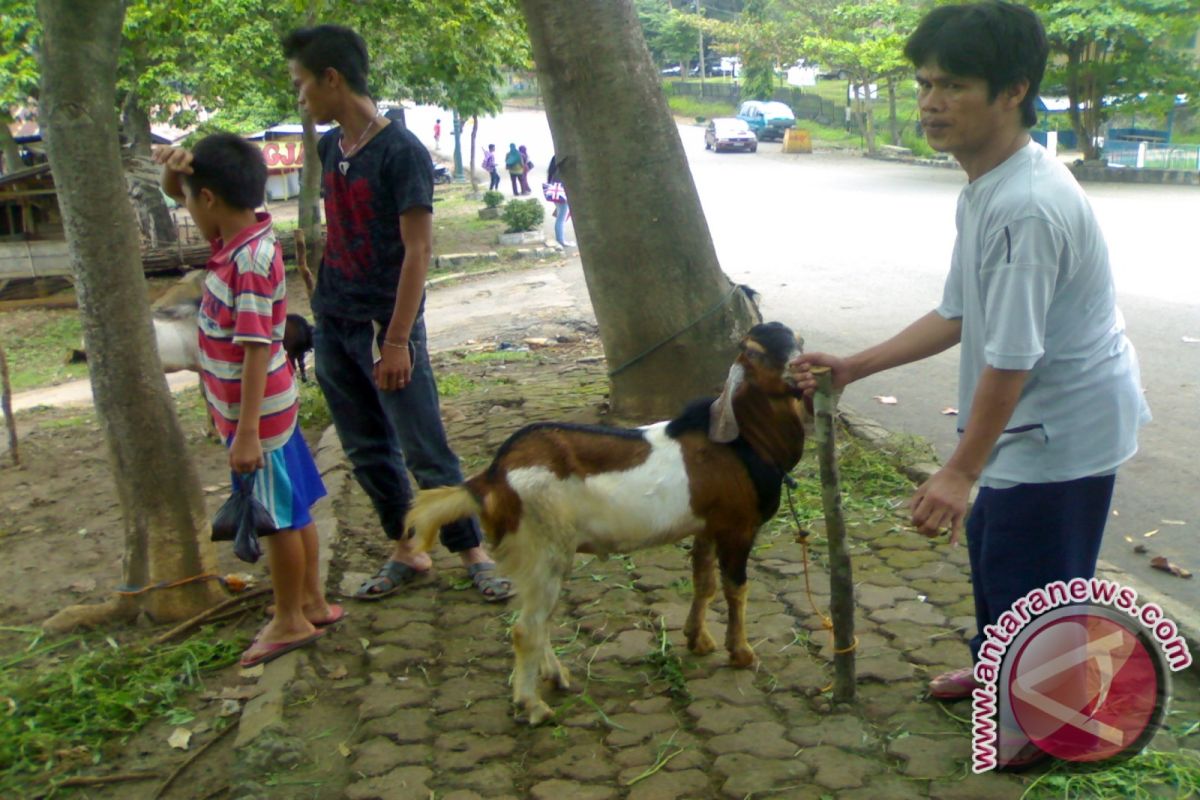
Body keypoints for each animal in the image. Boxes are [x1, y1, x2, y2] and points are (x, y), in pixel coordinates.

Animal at [408, 321, 811, 724]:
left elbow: (704, 583)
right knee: (527, 628)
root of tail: (491, 478)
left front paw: (698, 640)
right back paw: (532, 705)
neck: (746, 442)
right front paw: (741, 653)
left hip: (536, 556)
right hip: (545, 548)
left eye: (800, 341)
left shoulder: (708, 526)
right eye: (754, 352)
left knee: (539, 619)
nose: (799, 371)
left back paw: (555, 676)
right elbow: (736, 588)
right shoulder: (738, 527)